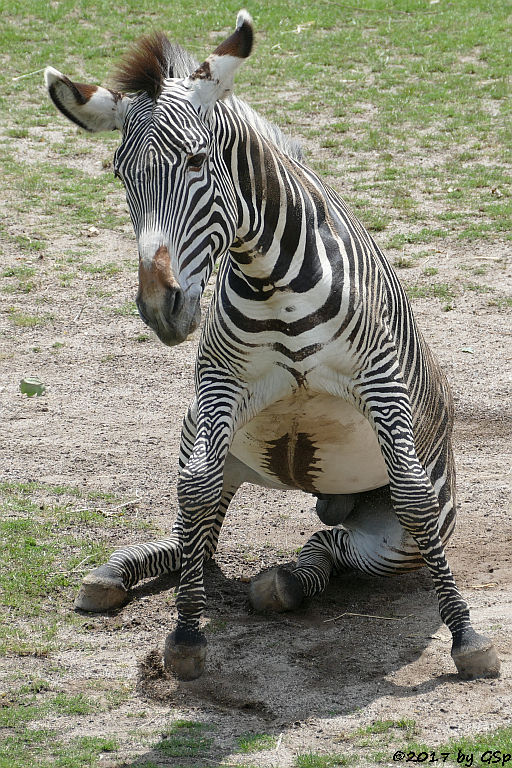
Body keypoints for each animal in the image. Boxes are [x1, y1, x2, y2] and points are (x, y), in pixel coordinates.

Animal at [45, 10, 500, 684]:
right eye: (123, 175)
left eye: (198, 161)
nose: (160, 307)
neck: (271, 280)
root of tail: (332, 503)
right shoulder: (218, 384)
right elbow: (197, 490)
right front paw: (186, 635)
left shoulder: (381, 380)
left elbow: (414, 495)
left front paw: (467, 637)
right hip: (199, 428)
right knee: (197, 528)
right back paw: (124, 573)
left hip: (394, 541)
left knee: (336, 546)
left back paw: (285, 580)